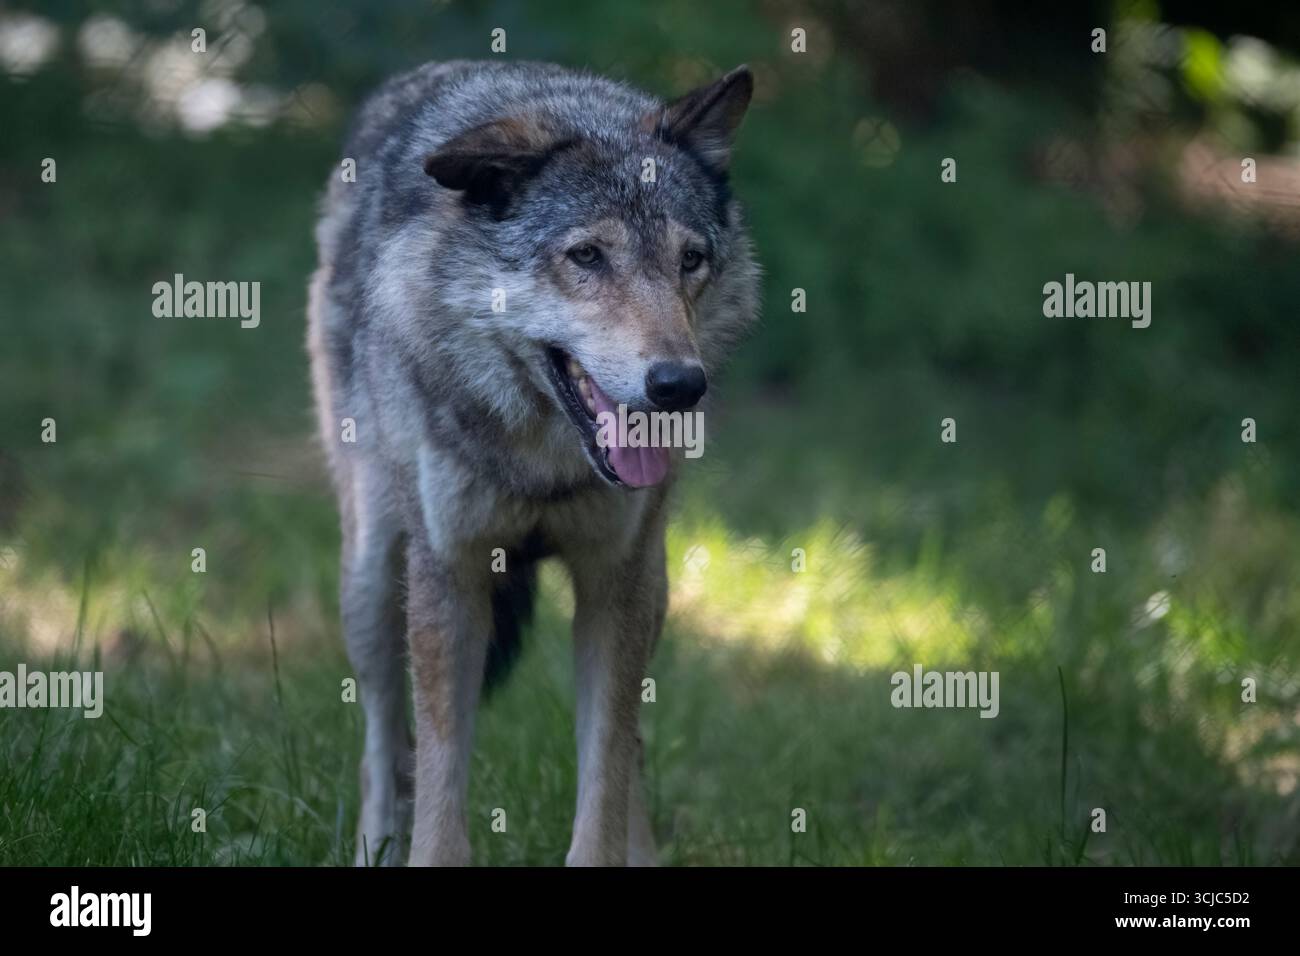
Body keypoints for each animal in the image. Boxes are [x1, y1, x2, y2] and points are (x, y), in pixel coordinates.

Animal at [307, 59, 759, 866]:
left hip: (655, 589)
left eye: (690, 260)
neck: (541, 460)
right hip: (371, 579)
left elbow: (605, 778)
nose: (679, 385)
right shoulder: (450, 576)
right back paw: (374, 845)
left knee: (631, 752)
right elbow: (440, 786)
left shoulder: (615, 584)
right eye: (587, 256)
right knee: (383, 745)